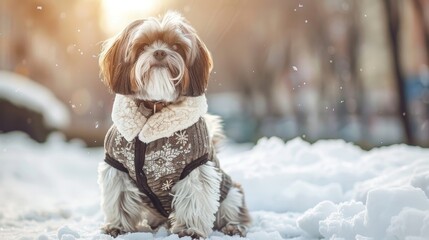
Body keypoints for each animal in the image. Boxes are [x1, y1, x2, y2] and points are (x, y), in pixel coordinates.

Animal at [96, 10, 251, 238]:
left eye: (176, 46)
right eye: (143, 45)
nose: (160, 52)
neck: (154, 107)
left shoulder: (194, 168)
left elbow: (194, 198)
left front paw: (189, 229)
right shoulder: (117, 166)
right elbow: (119, 198)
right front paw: (118, 226)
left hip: (231, 193)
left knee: (232, 210)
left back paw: (233, 226)